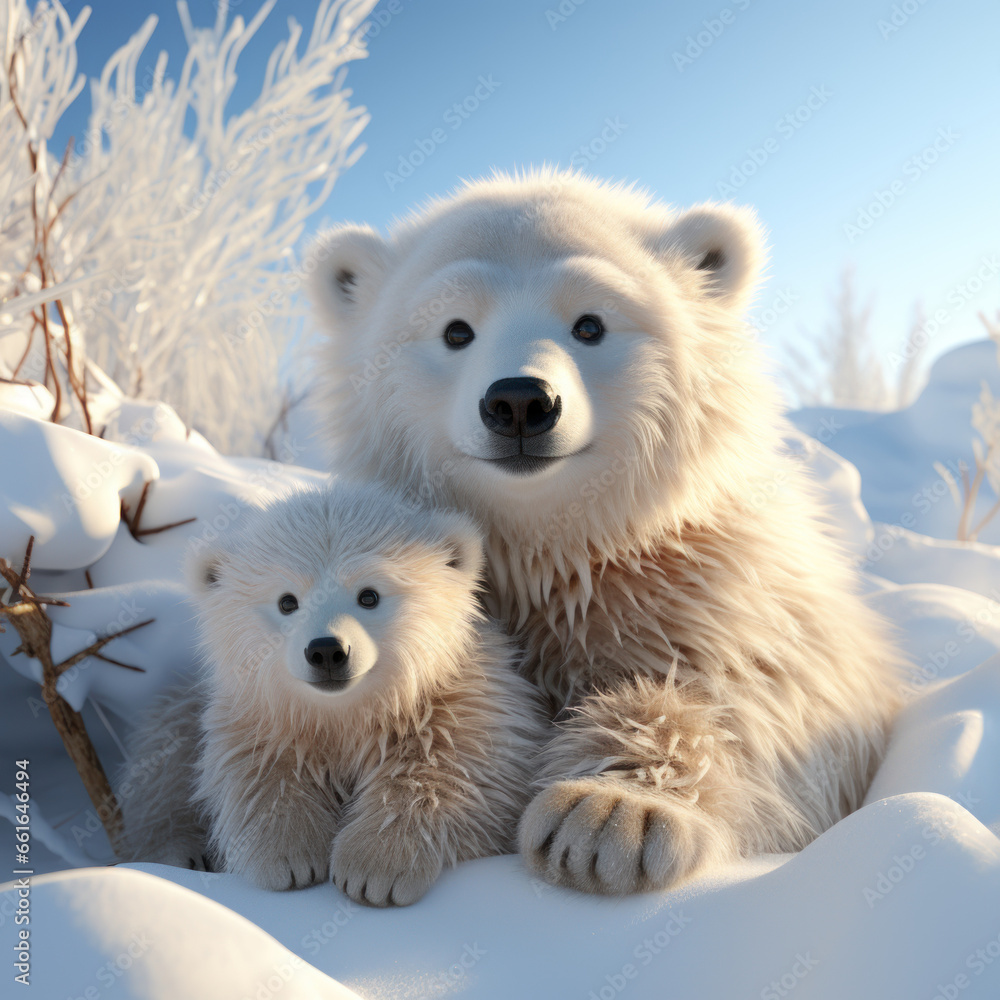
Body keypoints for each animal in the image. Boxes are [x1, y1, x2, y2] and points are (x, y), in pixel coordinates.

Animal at [117, 482, 544, 906]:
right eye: (287, 601)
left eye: (369, 595)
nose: (326, 651)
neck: (347, 715)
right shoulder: (259, 711)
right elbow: (258, 769)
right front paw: (288, 856)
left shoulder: (464, 705)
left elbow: (450, 773)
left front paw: (375, 867)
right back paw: (178, 852)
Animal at [308, 169, 906, 896]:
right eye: (455, 330)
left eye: (590, 324)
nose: (520, 401)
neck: (555, 553)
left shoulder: (721, 597)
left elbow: (762, 707)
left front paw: (608, 815)